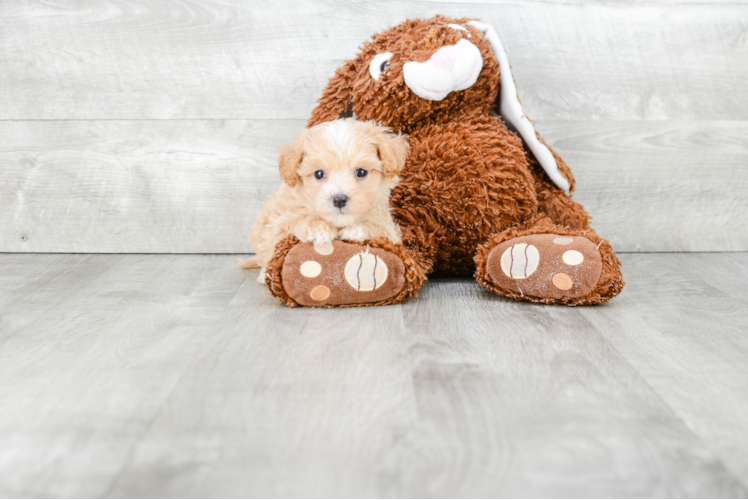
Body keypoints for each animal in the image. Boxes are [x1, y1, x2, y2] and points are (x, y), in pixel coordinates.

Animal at [240, 117, 410, 282]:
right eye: (319, 174)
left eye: (361, 172)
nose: (339, 199)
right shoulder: (280, 223)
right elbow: (293, 224)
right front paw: (319, 228)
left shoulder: (390, 231)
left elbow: (378, 229)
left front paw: (356, 230)